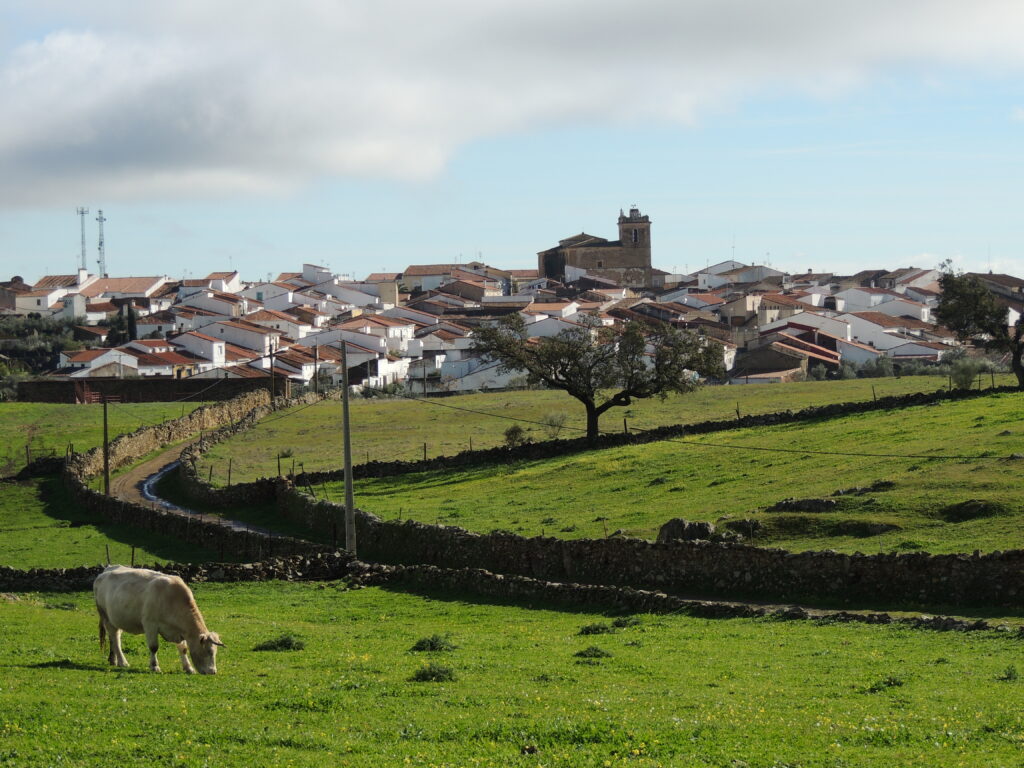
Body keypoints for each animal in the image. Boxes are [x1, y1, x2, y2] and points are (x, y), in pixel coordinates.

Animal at [94, 565, 224, 671]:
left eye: (215, 652)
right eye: (208, 651)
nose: (213, 672)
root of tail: (105, 570)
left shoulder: (179, 630)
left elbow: (183, 648)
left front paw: (188, 668)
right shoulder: (150, 624)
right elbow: (153, 647)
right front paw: (154, 666)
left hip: (117, 619)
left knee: (114, 637)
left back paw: (113, 660)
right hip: (106, 617)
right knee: (115, 639)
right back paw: (122, 662)